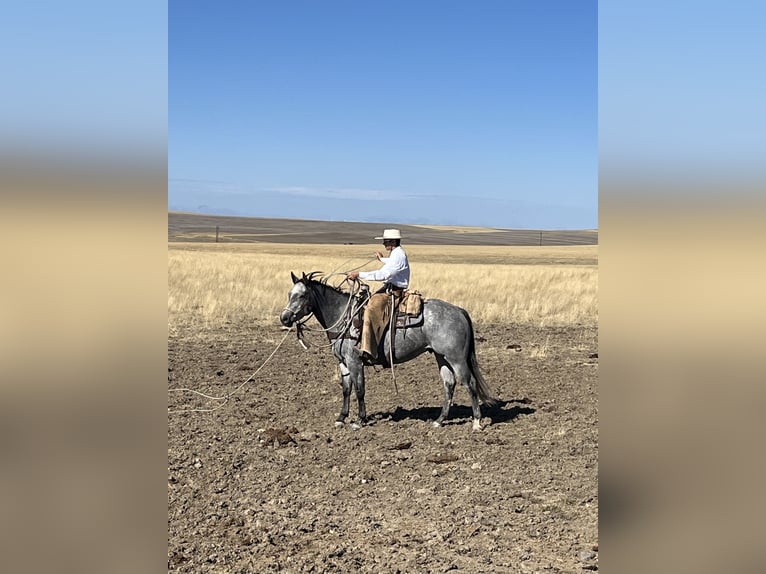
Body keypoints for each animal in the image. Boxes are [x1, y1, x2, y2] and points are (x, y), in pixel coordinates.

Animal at [279, 272, 498, 431]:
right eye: (290, 294)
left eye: (302, 295)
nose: (285, 318)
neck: (343, 316)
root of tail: (459, 310)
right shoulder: (343, 362)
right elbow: (346, 389)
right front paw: (341, 417)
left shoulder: (355, 361)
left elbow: (360, 389)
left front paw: (360, 420)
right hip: (441, 356)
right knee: (449, 384)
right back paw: (439, 420)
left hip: (456, 358)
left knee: (469, 383)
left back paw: (476, 422)